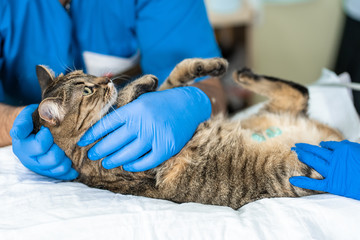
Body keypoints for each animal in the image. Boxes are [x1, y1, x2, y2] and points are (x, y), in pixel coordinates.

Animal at [31, 57, 344, 208]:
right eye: (87, 90)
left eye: (88, 75)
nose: (105, 80)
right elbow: (126, 99)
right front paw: (139, 83)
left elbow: (173, 80)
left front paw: (198, 67)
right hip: (303, 167)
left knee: (299, 92)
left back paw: (242, 73)